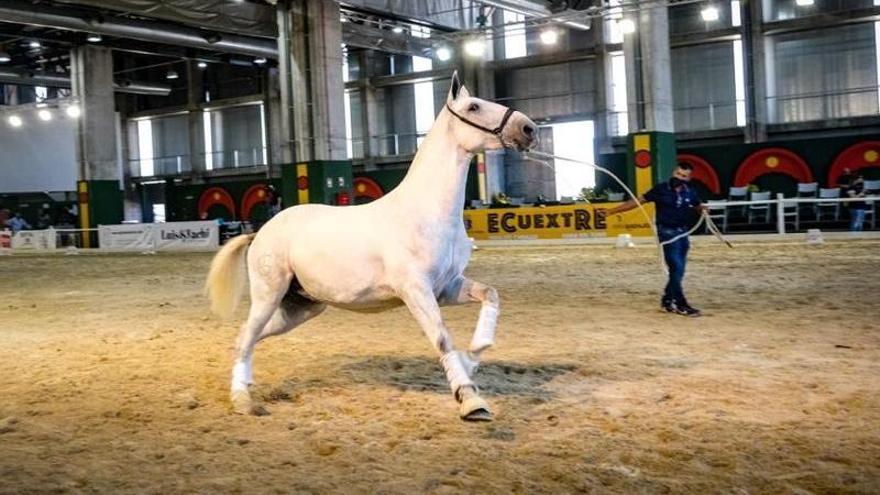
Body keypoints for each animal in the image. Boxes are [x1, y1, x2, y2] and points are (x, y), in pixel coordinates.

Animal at [206, 72, 536, 422]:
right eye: (473, 107)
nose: (529, 129)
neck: (427, 211)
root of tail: (259, 233)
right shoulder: (416, 291)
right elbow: (442, 339)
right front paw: (471, 402)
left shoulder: (446, 288)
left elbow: (490, 295)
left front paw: (473, 356)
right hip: (269, 295)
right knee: (246, 337)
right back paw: (242, 400)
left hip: (302, 308)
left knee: (247, 335)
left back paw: (245, 389)